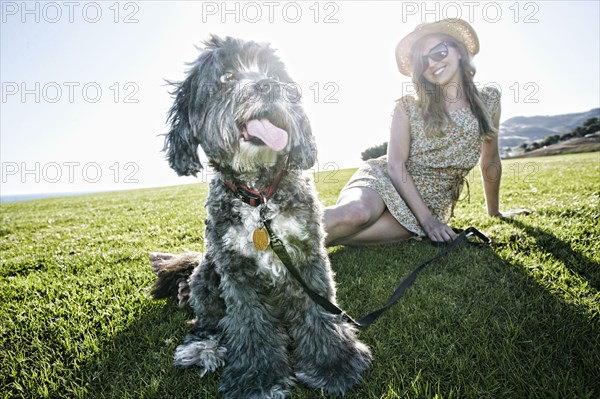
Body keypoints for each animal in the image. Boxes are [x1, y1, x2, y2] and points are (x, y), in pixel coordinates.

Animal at [150, 36, 370, 398]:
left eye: (273, 72)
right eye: (226, 77)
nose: (270, 86)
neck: (258, 198)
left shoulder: (308, 257)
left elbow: (319, 312)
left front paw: (333, 365)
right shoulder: (236, 273)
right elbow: (249, 325)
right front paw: (258, 379)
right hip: (207, 277)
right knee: (207, 322)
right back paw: (202, 347)